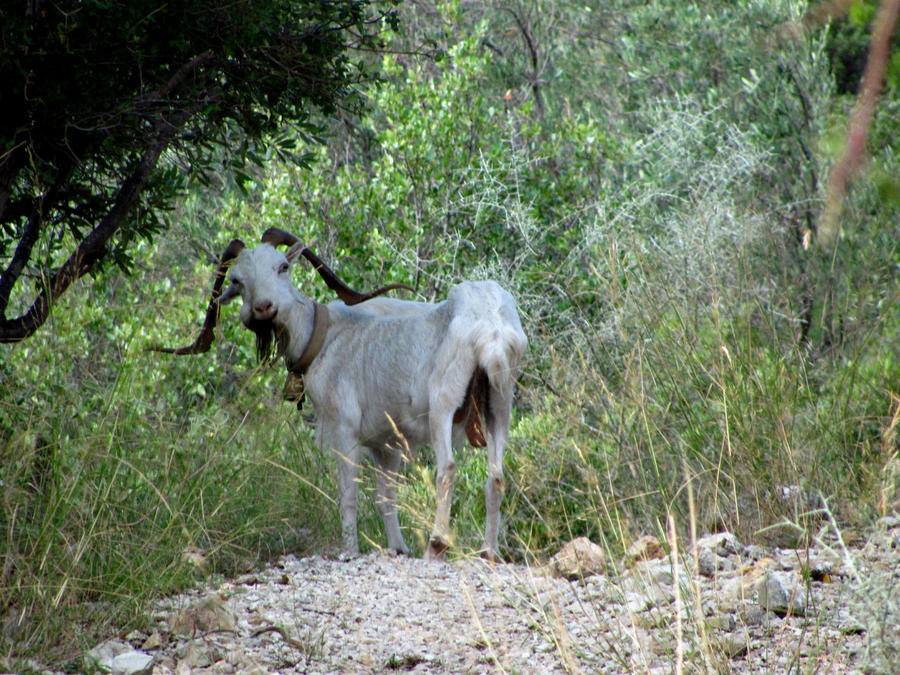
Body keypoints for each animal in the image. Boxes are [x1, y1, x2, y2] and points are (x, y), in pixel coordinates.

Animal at [156, 230, 528, 564]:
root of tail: (492, 330)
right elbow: (386, 497)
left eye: (282, 267)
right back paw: (489, 552)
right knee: (496, 474)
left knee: (447, 466)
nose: (263, 308)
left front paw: (349, 549)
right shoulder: (386, 442)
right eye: (238, 279)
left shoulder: (344, 427)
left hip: (443, 403)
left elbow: (348, 493)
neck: (323, 339)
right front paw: (397, 548)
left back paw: (436, 545)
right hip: (499, 401)